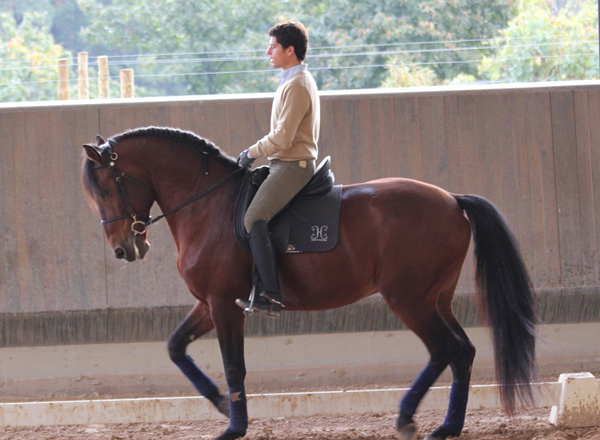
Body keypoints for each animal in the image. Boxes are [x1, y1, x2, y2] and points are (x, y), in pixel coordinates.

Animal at [81, 125, 540, 438]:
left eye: (105, 187)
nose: (124, 249)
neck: (207, 205)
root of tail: (452, 200)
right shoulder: (211, 302)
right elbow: (176, 346)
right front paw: (219, 403)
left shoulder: (224, 303)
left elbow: (234, 365)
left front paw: (234, 427)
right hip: (436, 299)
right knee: (463, 351)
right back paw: (447, 426)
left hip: (409, 299)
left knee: (445, 349)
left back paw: (408, 417)